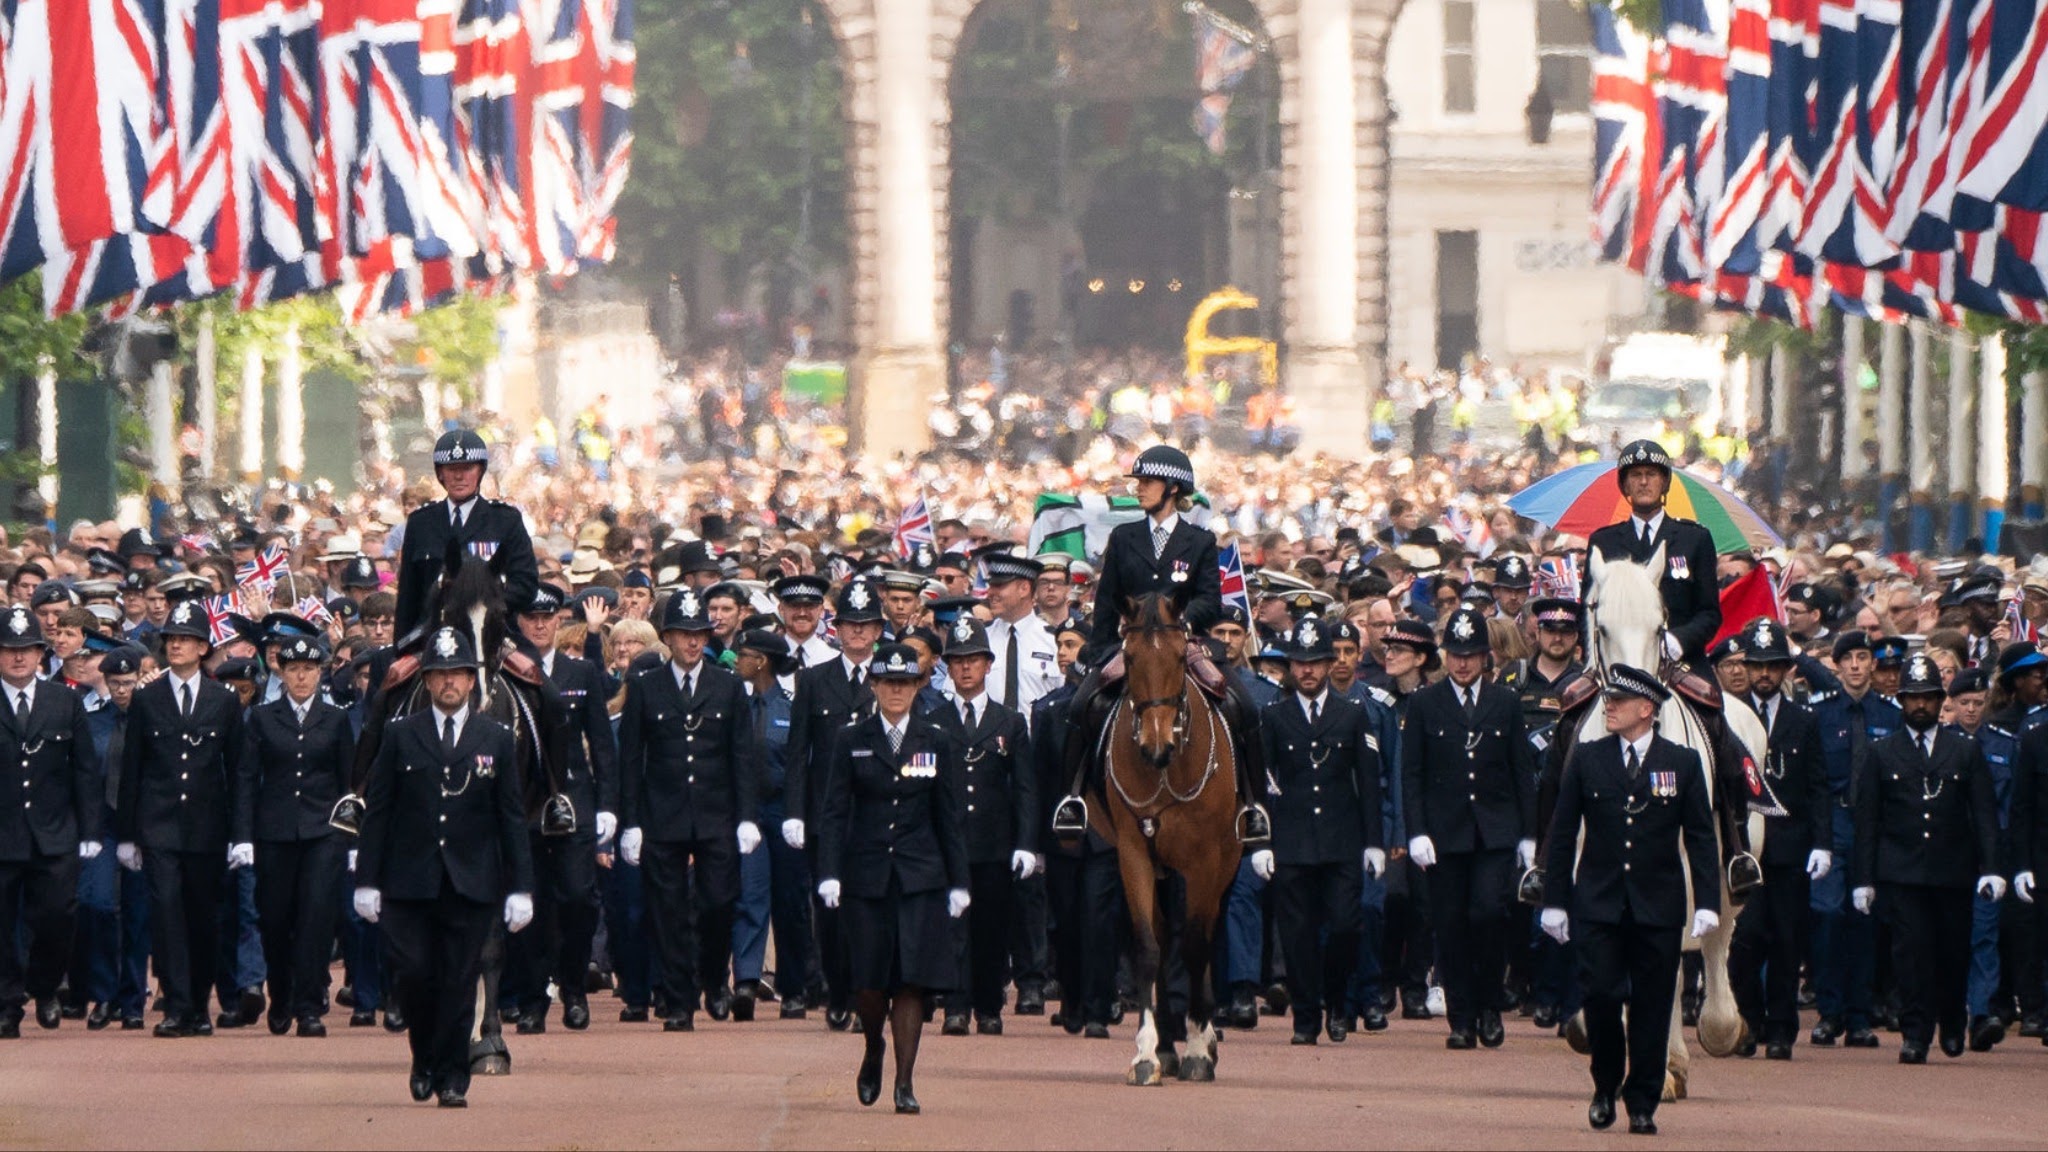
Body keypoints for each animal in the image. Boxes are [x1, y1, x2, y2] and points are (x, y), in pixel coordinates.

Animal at [1097, 590, 1236, 1082]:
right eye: (1129, 658)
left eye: (1179, 656)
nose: (1156, 747)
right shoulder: (1133, 852)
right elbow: (1148, 945)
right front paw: (1147, 1053)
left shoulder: (1205, 859)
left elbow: (1195, 946)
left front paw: (1198, 1048)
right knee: (1166, 932)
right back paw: (1169, 1044)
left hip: (1227, 861)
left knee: (1207, 933)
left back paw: (1202, 1038)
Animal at [1572, 541, 1769, 1098]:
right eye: (1601, 623)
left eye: (1660, 625)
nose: (1632, 692)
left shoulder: (1676, 870)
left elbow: (1667, 965)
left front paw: (1658, 1071)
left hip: (1727, 871)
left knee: (1715, 939)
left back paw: (1714, 1031)